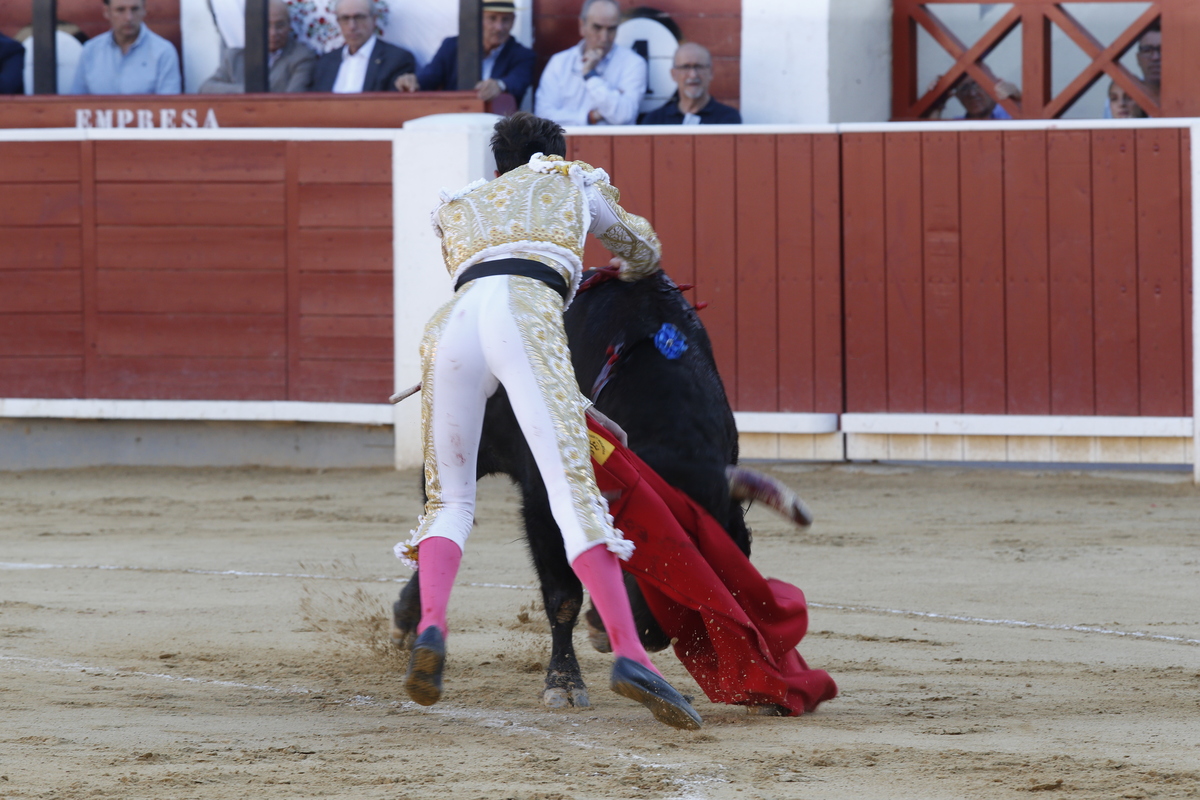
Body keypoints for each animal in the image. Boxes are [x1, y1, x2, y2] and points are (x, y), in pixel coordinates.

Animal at [396, 272, 806, 710]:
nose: (652, 634)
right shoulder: (542, 506)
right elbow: (564, 596)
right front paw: (564, 682)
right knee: (440, 513)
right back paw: (410, 619)